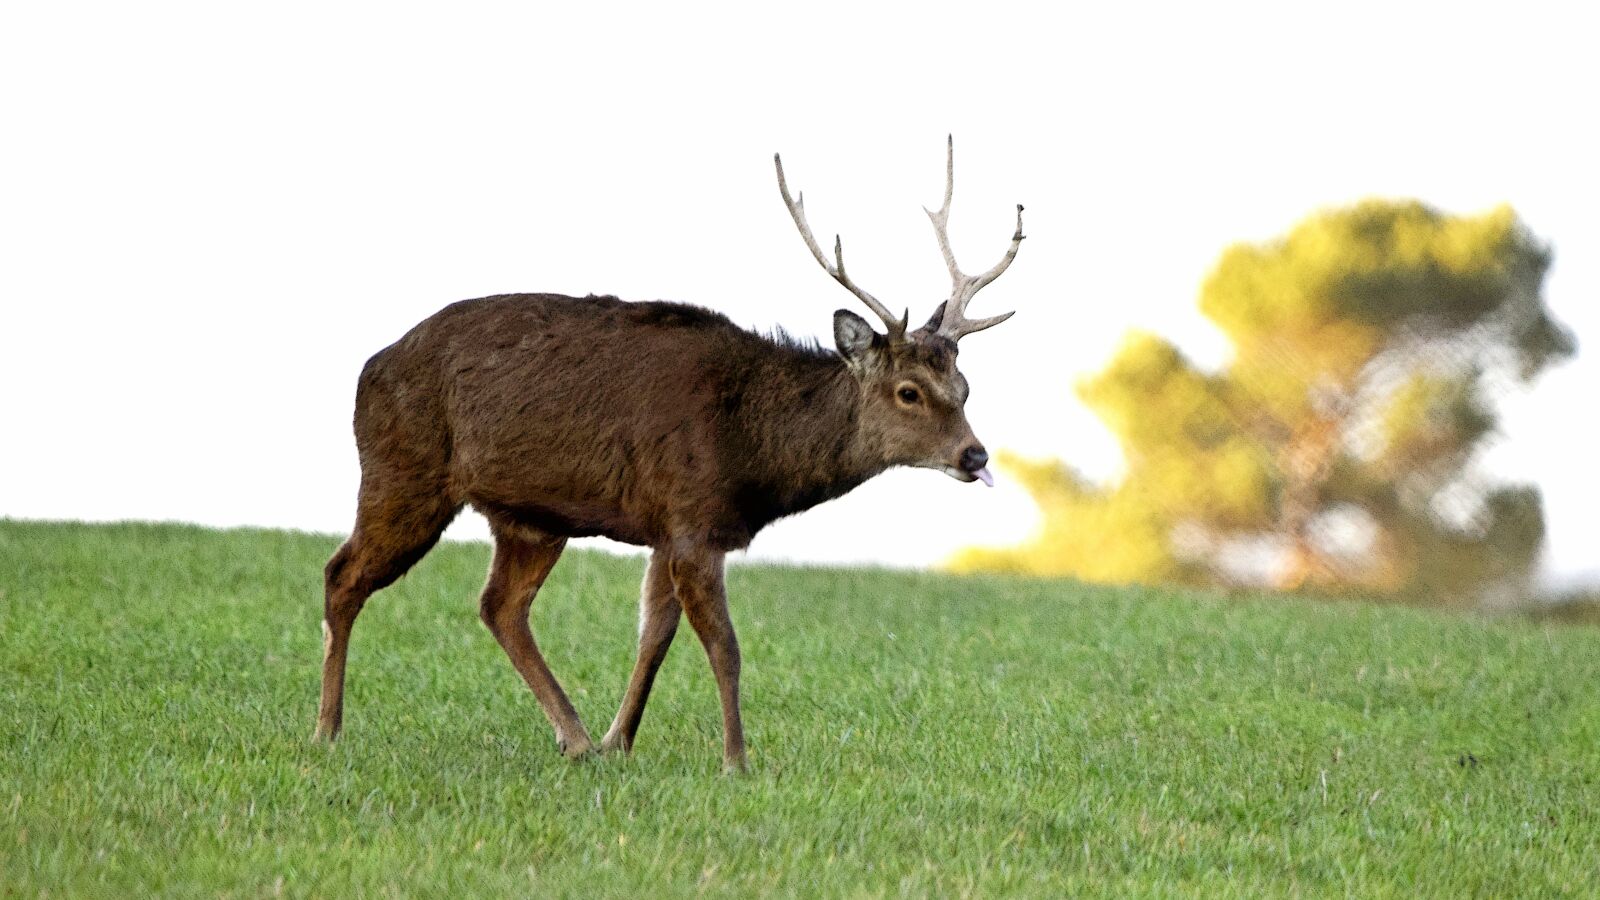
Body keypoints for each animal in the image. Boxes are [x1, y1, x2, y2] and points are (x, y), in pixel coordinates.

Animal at [314, 137, 1026, 772]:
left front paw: (617, 743)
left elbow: (654, 635)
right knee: (342, 574)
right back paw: (327, 730)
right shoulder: (691, 516)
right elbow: (724, 645)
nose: (974, 455)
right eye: (908, 391)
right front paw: (736, 762)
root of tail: (369, 368)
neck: (753, 458)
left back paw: (573, 738)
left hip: (530, 516)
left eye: (964, 387)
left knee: (500, 605)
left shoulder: (667, 527)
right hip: (403, 471)